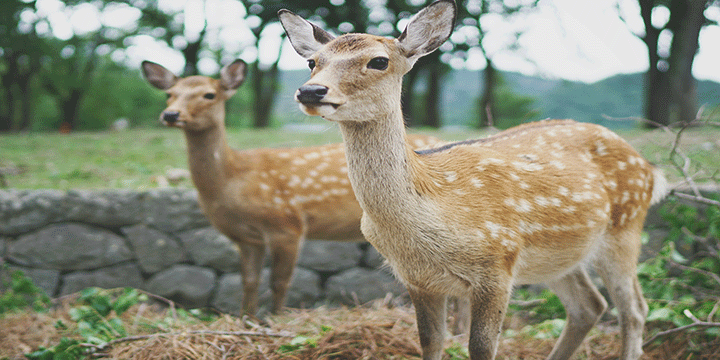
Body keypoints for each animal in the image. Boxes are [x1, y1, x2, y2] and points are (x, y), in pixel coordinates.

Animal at [140, 59, 442, 316]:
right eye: (169, 94)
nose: (170, 114)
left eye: (209, 95)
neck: (232, 180)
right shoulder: (246, 237)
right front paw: (245, 319)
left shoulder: (287, 224)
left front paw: (274, 319)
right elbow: (249, 280)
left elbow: (280, 282)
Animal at [280, 1, 668, 358]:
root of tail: (650, 169)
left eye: (378, 61)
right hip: (560, 256)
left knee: (634, 309)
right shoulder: (416, 279)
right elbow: (431, 342)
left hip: (624, 229)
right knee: (589, 306)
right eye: (313, 62)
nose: (310, 91)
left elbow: (481, 346)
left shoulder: (498, 265)